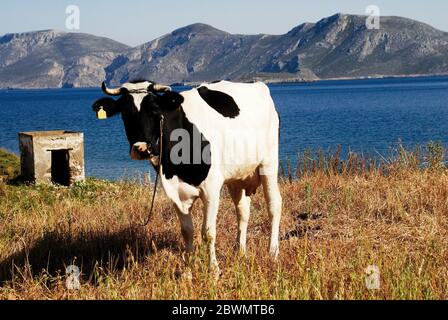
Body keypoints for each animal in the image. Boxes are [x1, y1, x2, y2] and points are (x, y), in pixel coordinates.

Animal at [92, 79, 282, 272]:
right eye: (124, 112)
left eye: (155, 110)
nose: (141, 148)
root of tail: (257, 85)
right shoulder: (175, 191)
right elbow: (187, 231)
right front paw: (188, 270)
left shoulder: (211, 188)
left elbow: (208, 232)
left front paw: (214, 270)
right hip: (236, 176)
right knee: (243, 210)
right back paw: (240, 253)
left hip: (269, 163)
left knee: (274, 205)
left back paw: (273, 253)